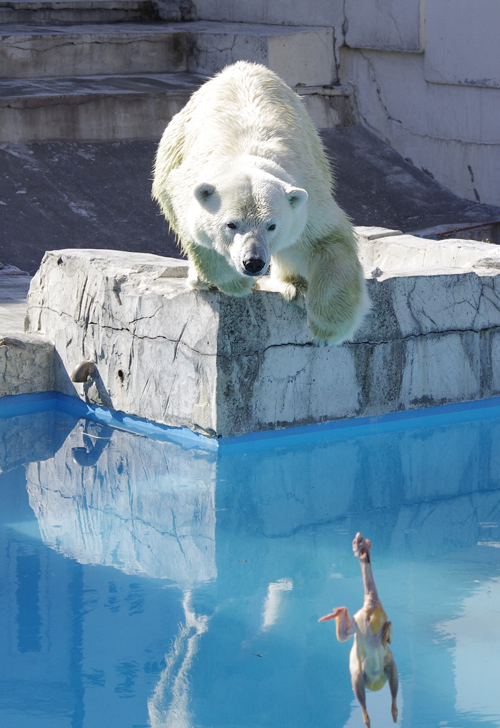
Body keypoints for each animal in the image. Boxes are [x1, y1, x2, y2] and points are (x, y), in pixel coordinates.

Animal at [152, 60, 368, 344]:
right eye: (231, 224)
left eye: (272, 226)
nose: (253, 262)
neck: (245, 156)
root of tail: (241, 65)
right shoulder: (185, 182)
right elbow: (193, 231)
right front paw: (235, 283)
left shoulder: (307, 193)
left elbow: (328, 239)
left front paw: (329, 326)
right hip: (174, 142)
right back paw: (201, 279)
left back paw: (292, 285)